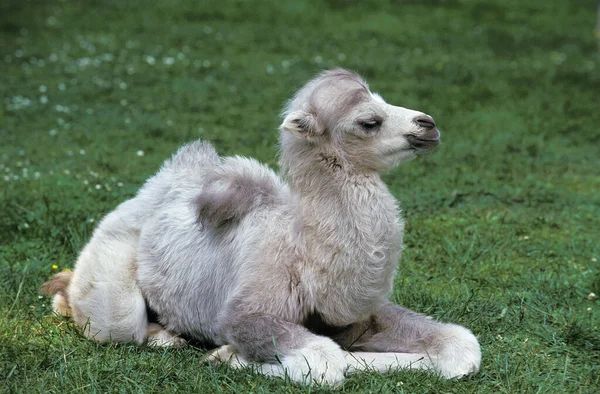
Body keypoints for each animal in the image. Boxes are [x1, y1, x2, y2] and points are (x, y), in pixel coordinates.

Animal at [43, 67, 482, 384]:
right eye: (369, 121)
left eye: (386, 100)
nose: (428, 124)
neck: (306, 252)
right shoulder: (247, 311)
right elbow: (323, 363)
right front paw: (226, 356)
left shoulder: (359, 313)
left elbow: (463, 347)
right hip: (111, 267)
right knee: (111, 318)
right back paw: (161, 336)